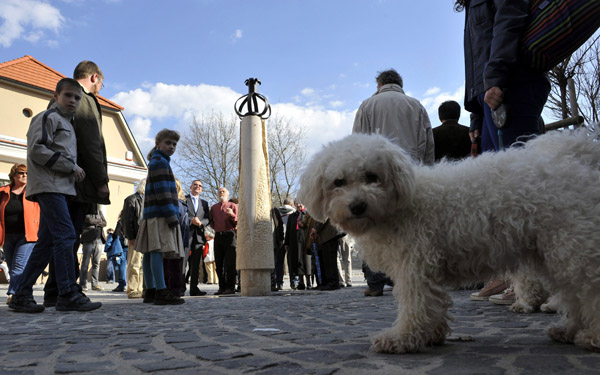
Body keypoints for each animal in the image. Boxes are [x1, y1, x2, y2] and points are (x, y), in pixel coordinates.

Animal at [298, 128, 600, 354]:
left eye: (372, 177)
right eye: (338, 182)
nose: (357, 206)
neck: (401, 205)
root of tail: (576, 158)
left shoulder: (415, 265)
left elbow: (415, 304)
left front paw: (401, 339)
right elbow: (432, 305)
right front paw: (431, 335)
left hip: (571, 247)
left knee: (588, 290)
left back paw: (591, 337)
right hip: (555, 253)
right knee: (573, 296)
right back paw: (568, 330)